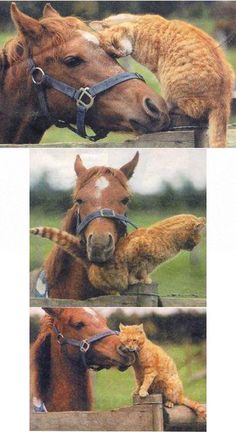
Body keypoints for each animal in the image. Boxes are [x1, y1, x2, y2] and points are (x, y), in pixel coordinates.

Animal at [30, 213, 205, 294]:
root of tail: (90, 263)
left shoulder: (148, 265)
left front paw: (146, 280)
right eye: (197, 238)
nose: (195, 246)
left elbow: (144, 273)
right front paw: (137, 281)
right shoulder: (137, 256)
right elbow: (135, 272)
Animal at [90, 13, 234, 147]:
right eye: (114, 56)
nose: (121, 54)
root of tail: (223, 101)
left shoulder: (157, 71)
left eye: (113, 44)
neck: (138, 23)